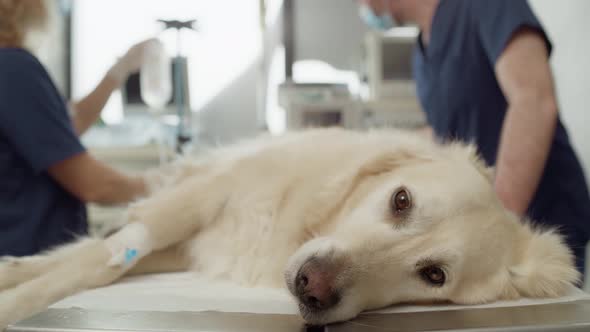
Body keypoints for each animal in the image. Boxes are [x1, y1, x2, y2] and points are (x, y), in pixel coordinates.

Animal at [0, 127, 580, 326]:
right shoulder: (205, 197)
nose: (312, 287)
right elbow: (94, 263)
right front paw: (13, 301)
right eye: (401, 201)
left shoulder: (191, 245)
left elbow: (97, 265)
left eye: (434, 276)